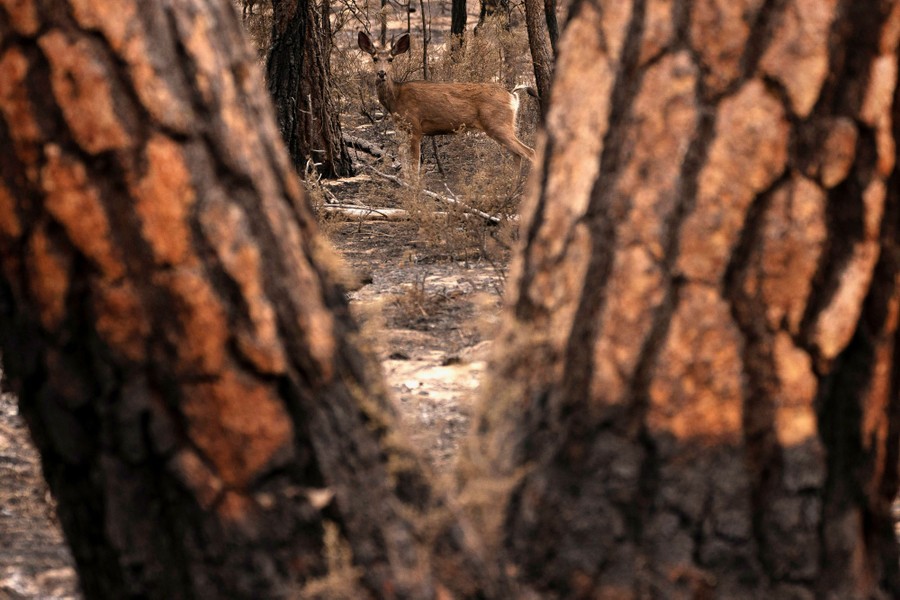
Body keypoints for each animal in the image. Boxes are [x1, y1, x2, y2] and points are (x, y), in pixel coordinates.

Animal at [357, 31, 536, 175]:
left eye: (390, 59)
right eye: (374, 58)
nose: (381, 73)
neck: (396, 98)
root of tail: (512, 95)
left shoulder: (415, 127)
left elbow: (414, 168)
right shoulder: (402, 129)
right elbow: (405, 165)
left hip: (497, 124)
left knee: (529, 152)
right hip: (503, 125)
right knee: (517, 154)